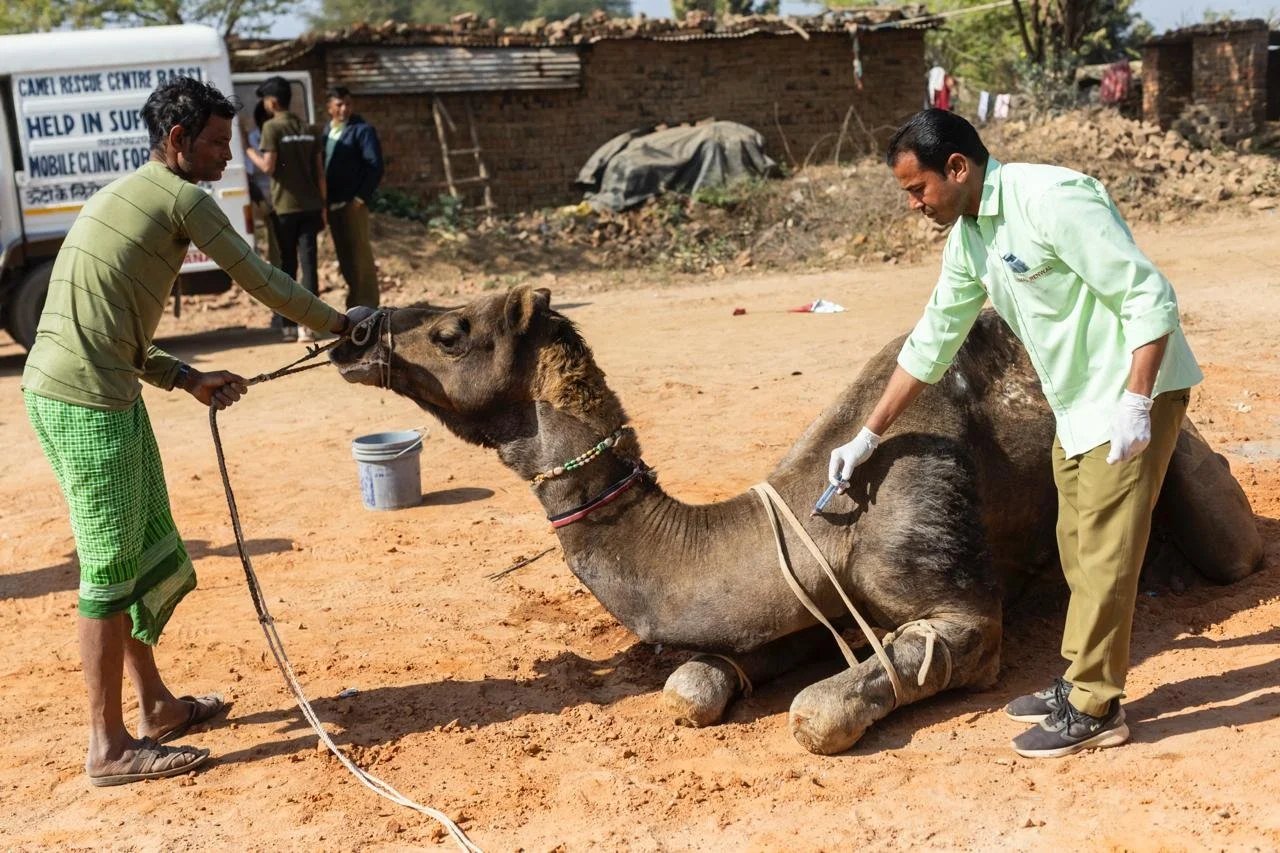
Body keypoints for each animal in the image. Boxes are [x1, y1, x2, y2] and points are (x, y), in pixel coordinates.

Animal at [330, 286, 1263, 754]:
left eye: (452, 330)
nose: (355, 327)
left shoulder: (964, 614)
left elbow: (817, 712)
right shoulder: (802, 601)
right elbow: (691, 684)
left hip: (1186, 462)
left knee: (1226, 543)